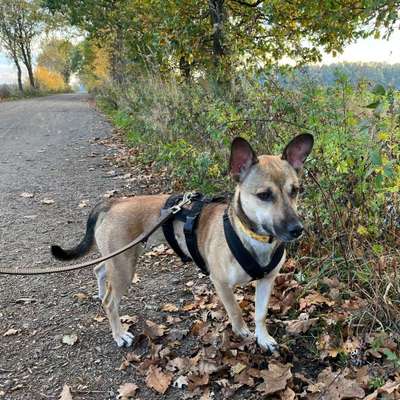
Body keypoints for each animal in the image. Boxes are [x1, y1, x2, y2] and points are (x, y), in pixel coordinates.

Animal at [50, 134, 312, 350]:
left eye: (296, 190)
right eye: (264, 195)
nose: (297, 229)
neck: (252, 237)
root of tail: (114, 202)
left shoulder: (267, 280)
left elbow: (260, 313)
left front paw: (263, 337)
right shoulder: (221, 284)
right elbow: (236, 311)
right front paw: (243, 332)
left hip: (120, 258)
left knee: (99, 268)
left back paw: (100, 290)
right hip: (124, 265)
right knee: (110, 302)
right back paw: (118, 333)